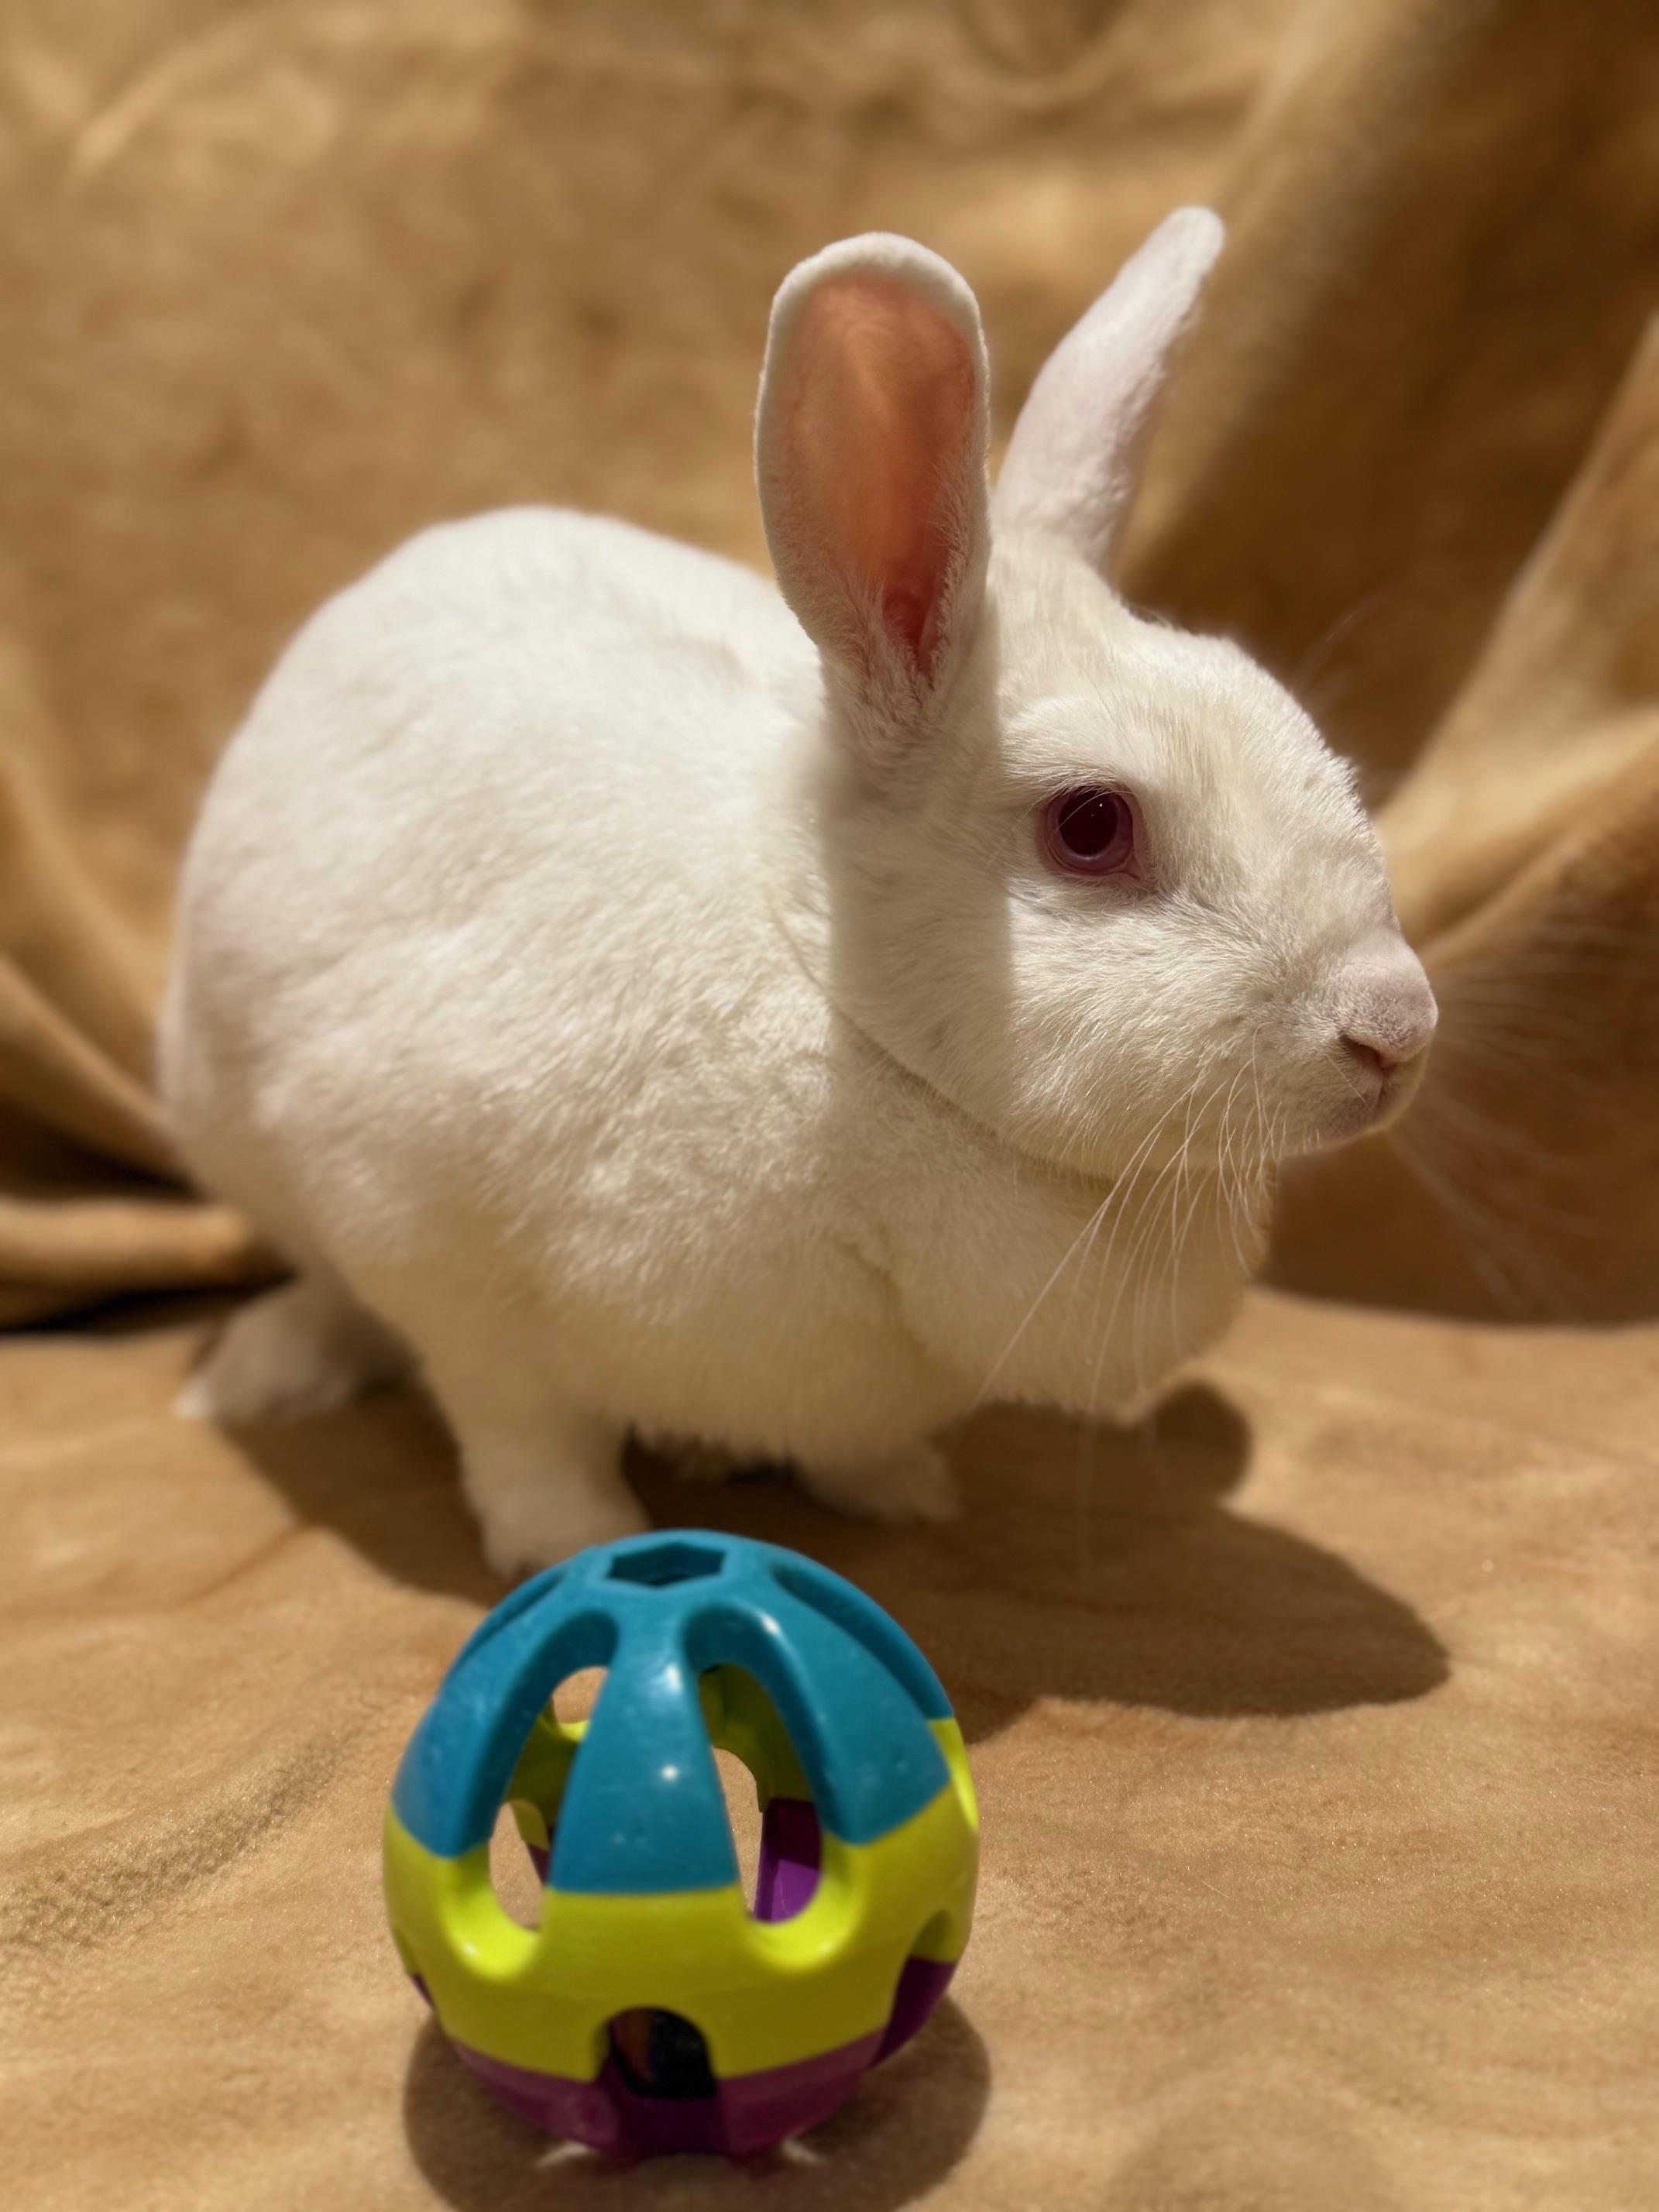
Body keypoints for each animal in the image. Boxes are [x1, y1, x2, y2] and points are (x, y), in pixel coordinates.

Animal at [161, 209, 1436, 1576]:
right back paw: (257, 1375)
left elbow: (853, 1446)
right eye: (1090, 826)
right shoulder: (434, 1249)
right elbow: (522, 1432)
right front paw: (569, 1546)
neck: (839, 1010)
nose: (1395, 1027)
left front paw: (902, 1495)